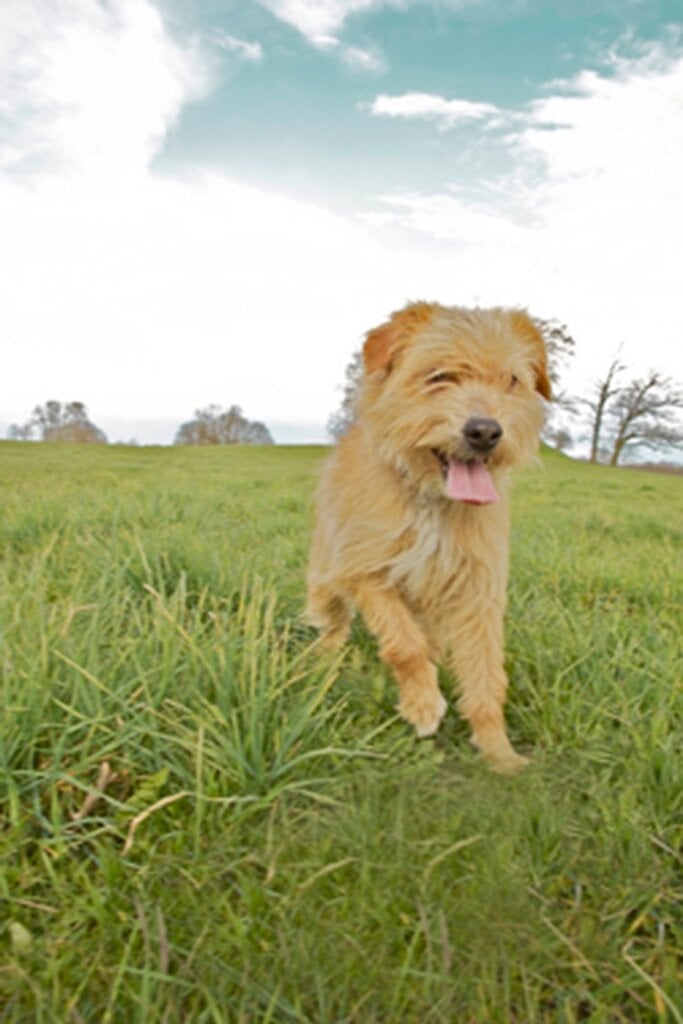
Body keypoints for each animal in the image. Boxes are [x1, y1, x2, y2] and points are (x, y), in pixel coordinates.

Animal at [307, 299, 552, 770]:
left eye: (511, 380)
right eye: (439, 376)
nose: (485, 431)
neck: (432, 501)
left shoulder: (478, 592)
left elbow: (485, 675)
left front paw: (499, 752)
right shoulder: (366, 570)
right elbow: (405, 644)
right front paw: (423, 704)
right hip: (327, 578)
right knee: (333, 620)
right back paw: (324, 657)